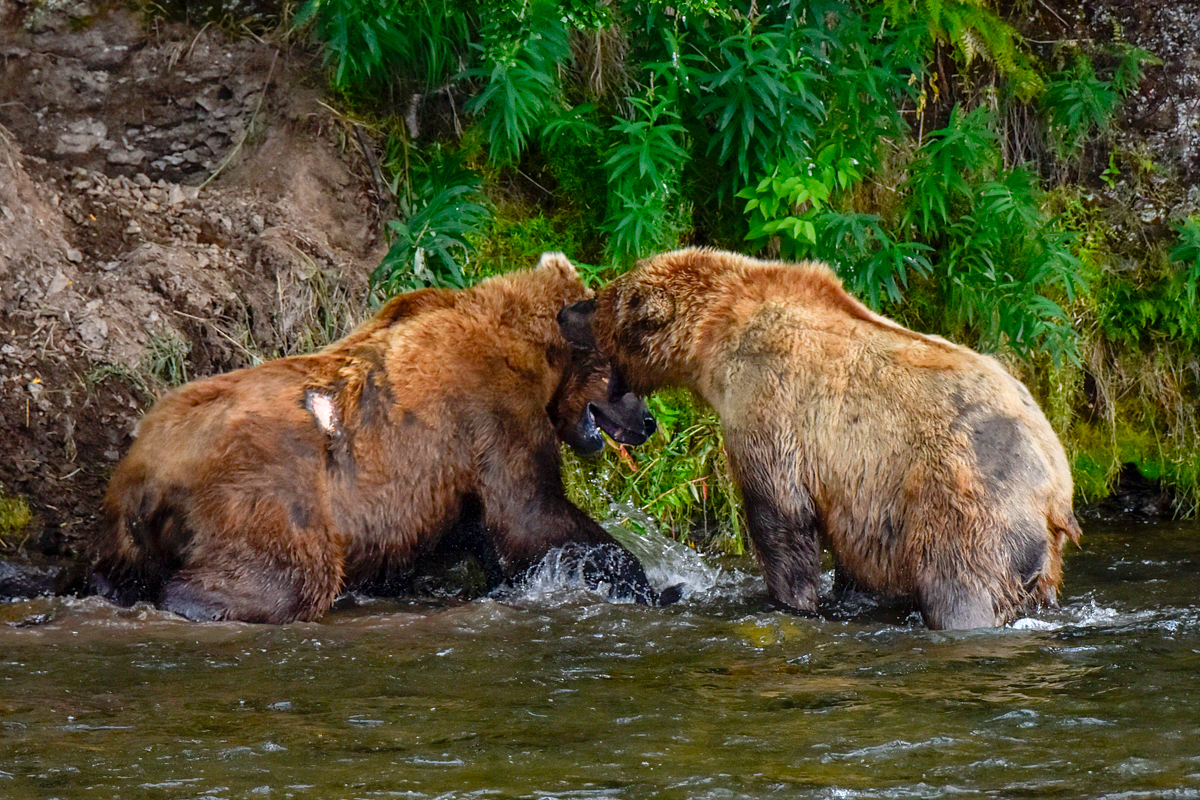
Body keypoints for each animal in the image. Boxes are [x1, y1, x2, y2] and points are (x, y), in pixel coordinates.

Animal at [91, 253, 667, 623]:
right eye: (625, 372)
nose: (649, 421)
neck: (534, 358)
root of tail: (147, 472)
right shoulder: (490, 420)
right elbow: (533, 516)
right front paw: (654, 583)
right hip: (265, 496)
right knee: (288, 576)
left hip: (125, 534)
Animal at [561, 247, 1089, 628]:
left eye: (600, 300)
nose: (566, 312)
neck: (716, 339)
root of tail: (1056, 489)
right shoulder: (863, 504)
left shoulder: (772, 410)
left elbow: (780, 519)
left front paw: (789, 601)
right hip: (1040, 560)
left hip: (968, 512)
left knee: (961, 590)